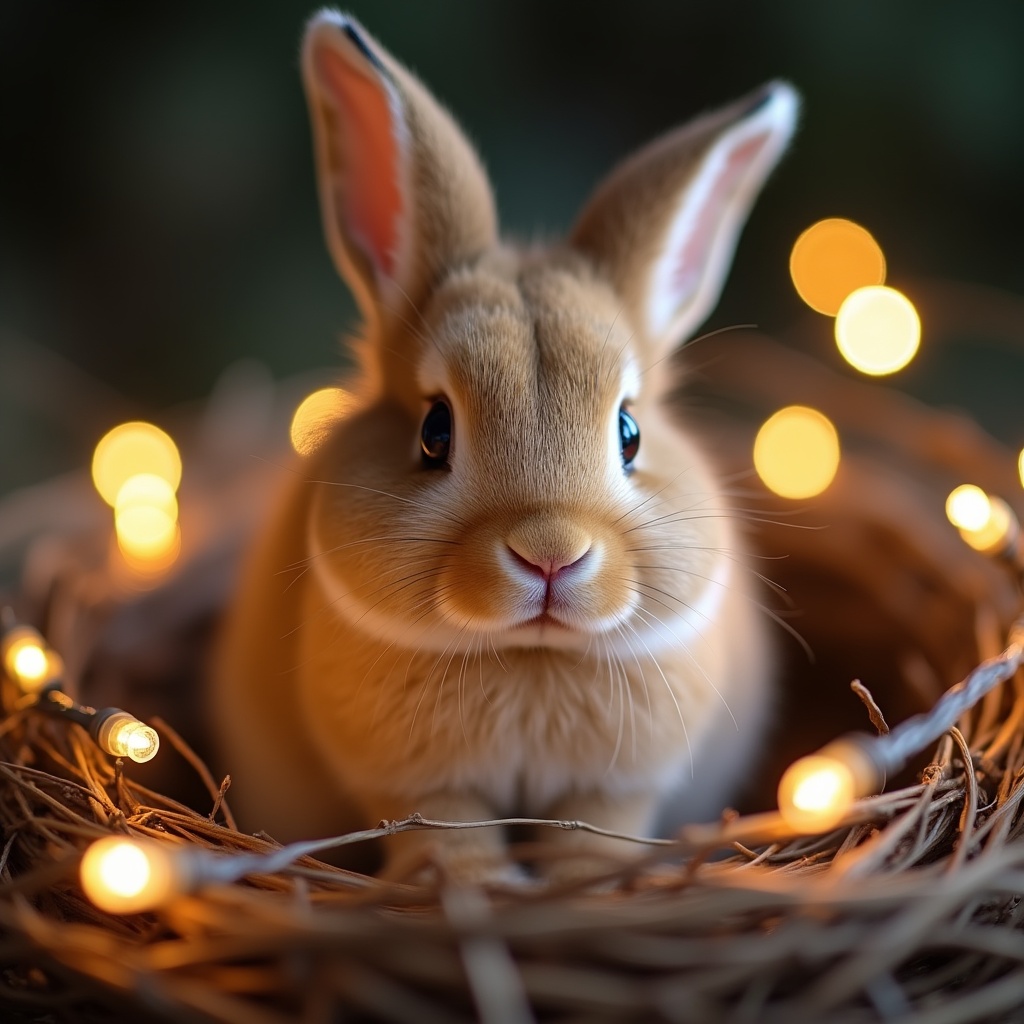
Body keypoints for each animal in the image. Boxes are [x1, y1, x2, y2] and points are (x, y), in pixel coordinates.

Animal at [210, 9, 799, 883]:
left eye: (630, 433)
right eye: (434, 430)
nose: (550, 554)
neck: (529, 654)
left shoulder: (614, 790)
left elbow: (594, 835)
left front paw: (584, 885)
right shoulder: (427, 790)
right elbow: (447, 832)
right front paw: (474, 885)